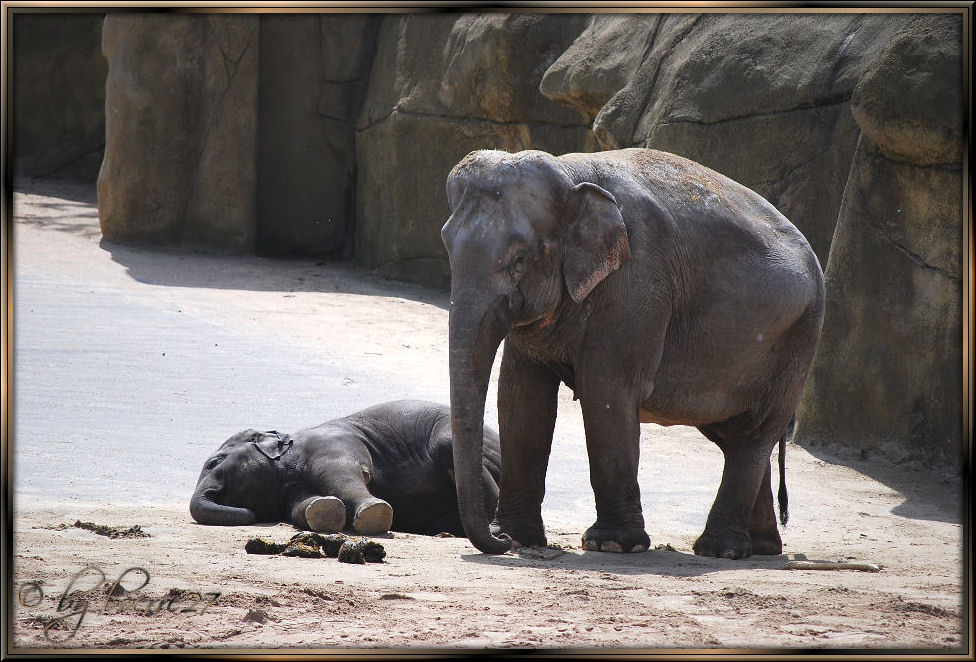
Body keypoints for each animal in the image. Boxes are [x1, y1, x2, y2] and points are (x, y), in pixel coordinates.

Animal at [189, 400, 504, 540]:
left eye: (214, 463)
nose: (250, 515)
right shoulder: (288, 486)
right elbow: (300, 506)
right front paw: (323, 511)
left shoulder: (330, 445)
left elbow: (341, 475)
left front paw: (375, 513)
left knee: (449, 448)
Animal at [442, 147, 824, 560]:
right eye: (447, 245)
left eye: (519, 260)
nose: (499, 544)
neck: (571, 173)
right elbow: (521, 396)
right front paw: (516, 536)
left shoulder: (638, 284)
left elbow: (605, 390)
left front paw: (611, 544)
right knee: (736, 434)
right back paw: (760, 548)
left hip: (799, 339)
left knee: (754, 433)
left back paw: (719, 550)